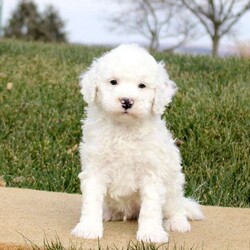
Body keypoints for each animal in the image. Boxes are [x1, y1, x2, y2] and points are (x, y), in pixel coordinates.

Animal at [71, 43, 204, 242]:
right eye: (113, 82)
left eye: (142, 86)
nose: (127, 101)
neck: (125, 128)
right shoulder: (95, 167)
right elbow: (91, 200)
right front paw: (88, 228)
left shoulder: (152, 172)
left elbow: (151, 208)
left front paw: (151, 234)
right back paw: (109, 213)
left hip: (174, 183)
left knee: (175, 206)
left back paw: (177, 223)